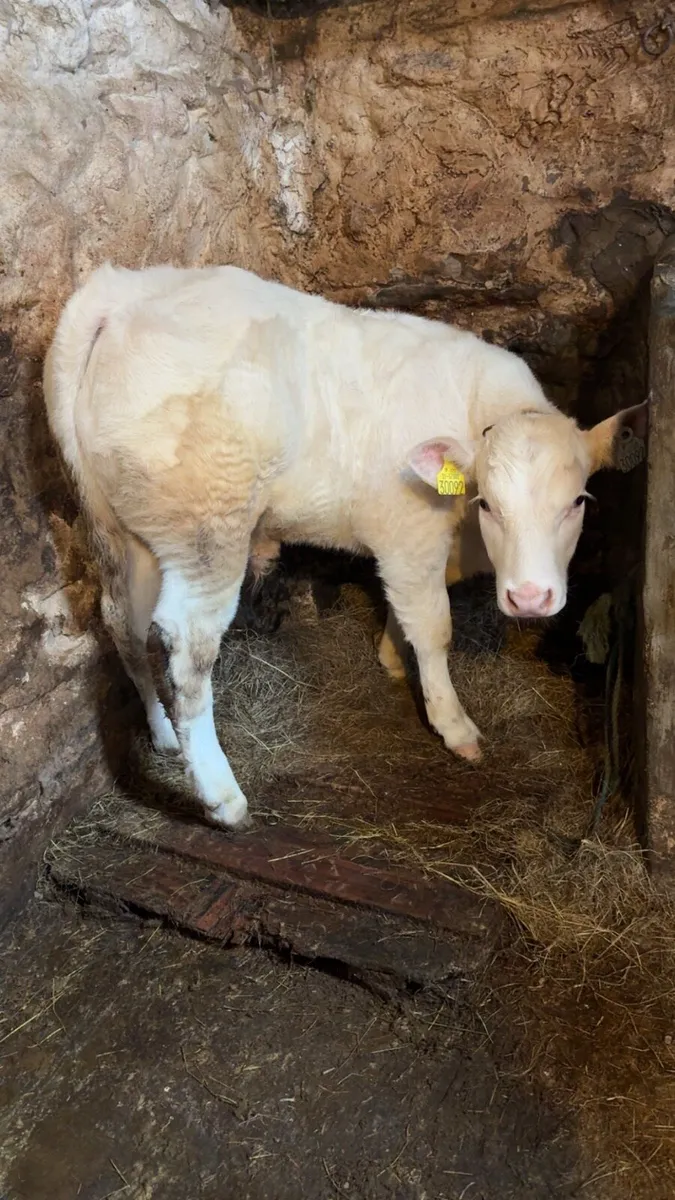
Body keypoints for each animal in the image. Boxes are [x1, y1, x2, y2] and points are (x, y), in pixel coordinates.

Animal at [43, 263, 642, 829]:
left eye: (578, 502)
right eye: (489, 504)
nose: (531, 598)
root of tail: (126, 289)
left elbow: (406, 608)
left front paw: (392, 656)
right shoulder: (410, 534)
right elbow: (434, 628)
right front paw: (452, 723)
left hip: (129, 528)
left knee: (123, 621)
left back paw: (163, 732)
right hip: (209, 524)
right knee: (187, 646)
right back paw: (222, 795)